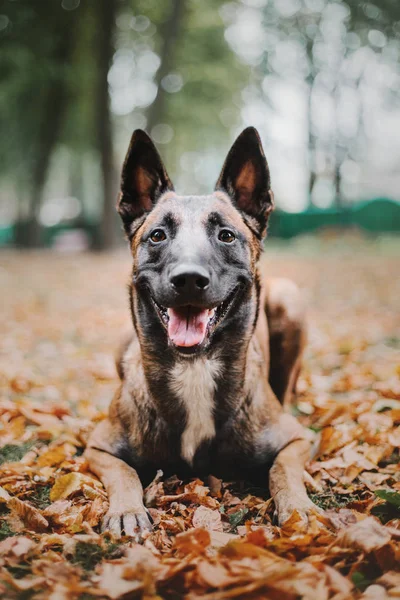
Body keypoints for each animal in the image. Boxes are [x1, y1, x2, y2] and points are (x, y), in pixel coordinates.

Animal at [86, 127, 318, 540]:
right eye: (157, 236)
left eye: (226, 235)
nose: (189, 279)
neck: (195, 366)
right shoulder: (97, 448)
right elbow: (124, 472)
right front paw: (127, 509)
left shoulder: (296, 440)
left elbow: (284, 469)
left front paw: (298, 506)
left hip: (289, 301)